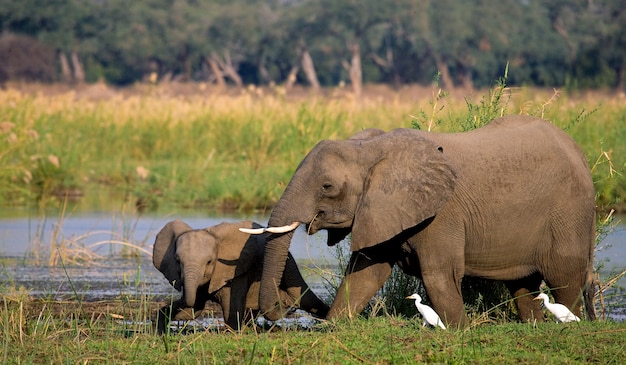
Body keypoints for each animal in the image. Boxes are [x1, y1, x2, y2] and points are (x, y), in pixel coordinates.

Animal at [152, 218, 326, 334]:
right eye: (177, 261)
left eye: (209, 262)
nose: (288, 307)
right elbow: (193, 310)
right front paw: (160, 330)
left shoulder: (235, 271)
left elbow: (228, 307)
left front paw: (233, 332)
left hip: (288, 265)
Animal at [240, 115, 596, 326]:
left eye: (327, 187)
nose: (281, 311)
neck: (371, 148)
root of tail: (579, 152)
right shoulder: (382, 210)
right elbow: (364, 274)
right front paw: (335, 327)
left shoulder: (441, 214)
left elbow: (438, 276)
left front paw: (457, 332)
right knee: (523, 285)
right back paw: (533, 325)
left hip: (569, 212)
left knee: (564, 277)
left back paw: (571, 324)